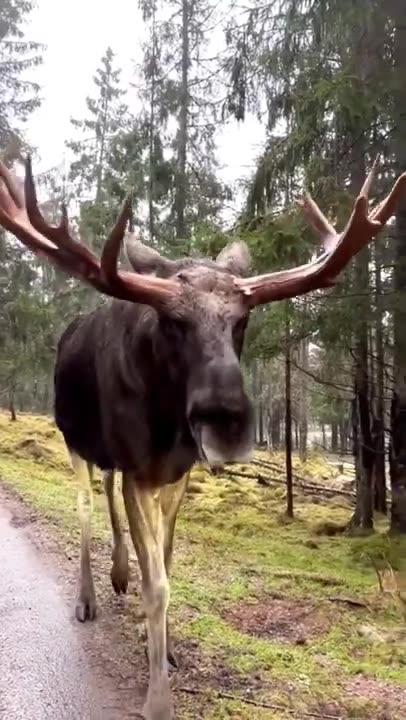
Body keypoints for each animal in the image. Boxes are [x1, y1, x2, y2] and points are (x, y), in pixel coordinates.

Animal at [0, 156, 405, 720]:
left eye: (242, 319)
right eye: (173, 320)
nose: (226, 419)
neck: (167, 420)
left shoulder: (175, 470)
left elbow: (167, 560)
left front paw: (166, 649)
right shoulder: (140, 467)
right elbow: (157, 585)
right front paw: (157, 700)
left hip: (112, 455)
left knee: (107, 490)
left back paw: (117, 573)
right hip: (71, 438)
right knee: (84, 504)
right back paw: (87, 597)